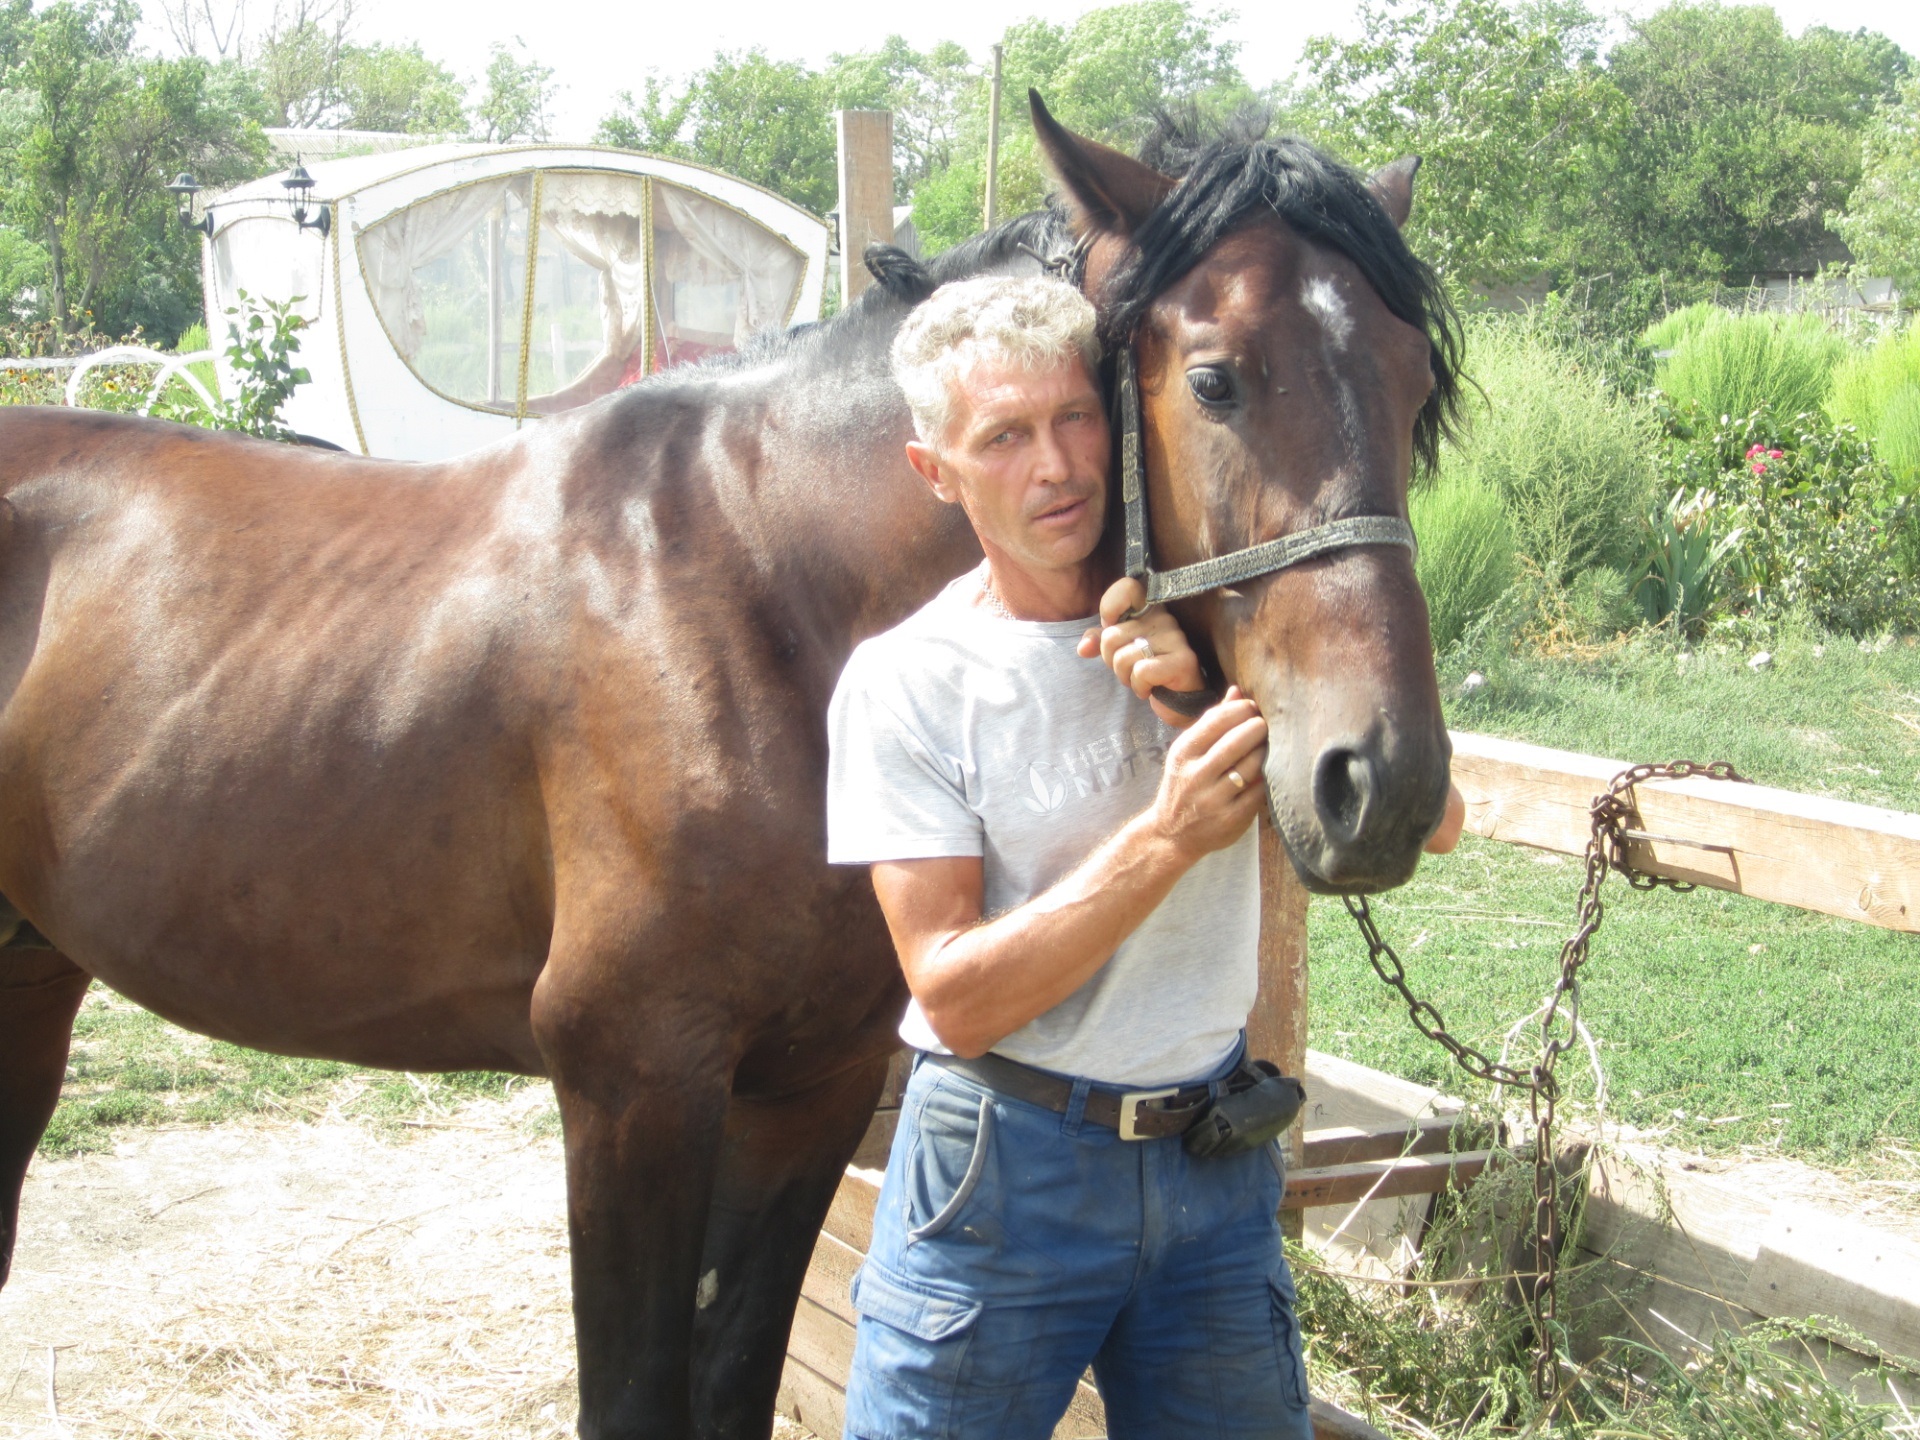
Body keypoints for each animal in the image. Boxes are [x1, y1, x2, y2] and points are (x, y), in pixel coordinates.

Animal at [0, 104, 1451, 1440]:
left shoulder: (808, 1090)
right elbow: (638, 1395)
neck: (764, 594)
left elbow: (734, 1374)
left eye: (1411, 384)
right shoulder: (631, 1086)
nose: (1383, 782)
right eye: (1215, 380)